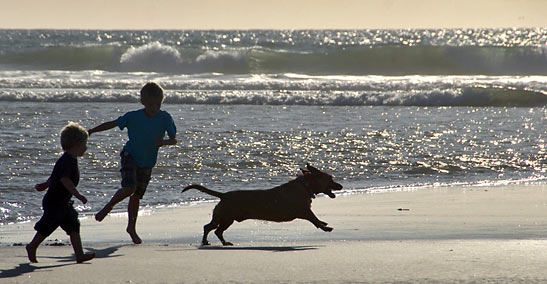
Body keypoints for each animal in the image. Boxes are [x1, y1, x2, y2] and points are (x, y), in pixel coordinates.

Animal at [182, 163, 344, 245]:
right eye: (330, 178)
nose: (341, 186)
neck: (306, 185)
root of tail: (224, 195)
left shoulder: (304, 211)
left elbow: (316, 219)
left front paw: (324, 223)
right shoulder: (304, 211)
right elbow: (314, 219)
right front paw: (325, 227)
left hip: (226, 218)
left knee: (215, 230)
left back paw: (222, 242)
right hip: (225, 217)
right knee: (210, 228)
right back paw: (207, 241)